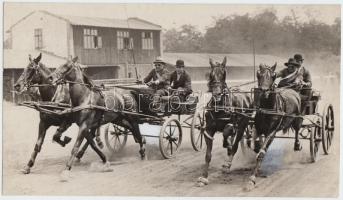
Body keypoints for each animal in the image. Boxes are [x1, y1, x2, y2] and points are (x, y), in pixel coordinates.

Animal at [198, 57, 254, 187]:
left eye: (224, 74)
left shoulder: (232, 124)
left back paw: (228, 163)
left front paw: (227, 146)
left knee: (236, 143)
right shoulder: (209, 129)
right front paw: (204, 177)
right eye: (211, 75)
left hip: (243, 123)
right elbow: (208, 155)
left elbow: (227, 132)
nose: (217, 94)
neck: (219, 108)